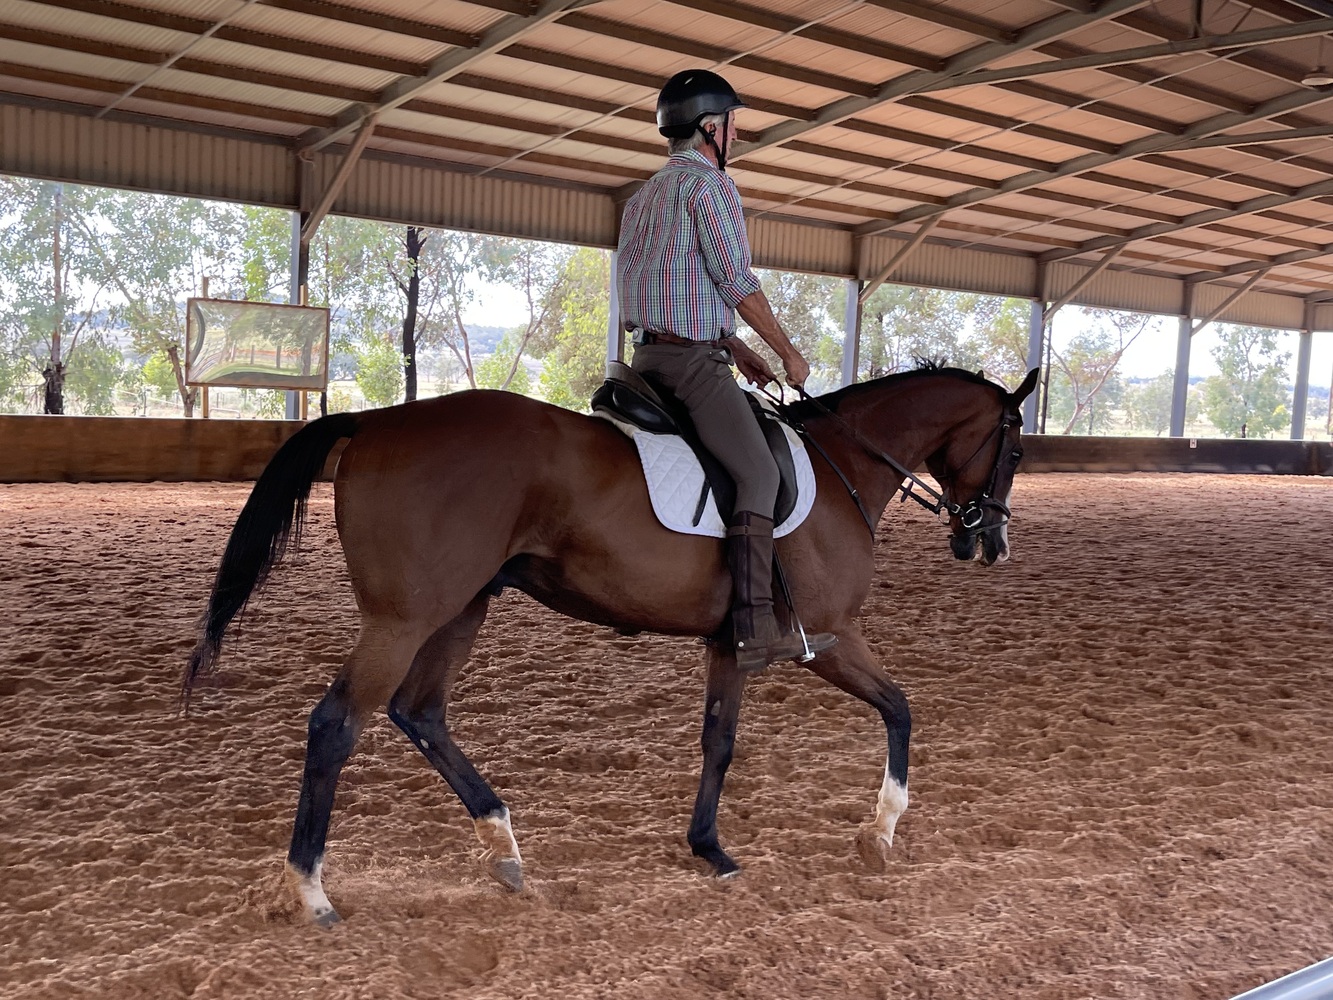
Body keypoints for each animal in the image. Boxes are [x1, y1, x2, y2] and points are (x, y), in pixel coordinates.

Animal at [183, 364, 1039, 925]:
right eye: (1016, 451)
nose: (986, 542)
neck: (844, 468)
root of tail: (380, 419)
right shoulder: (829, 638)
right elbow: (900, 710)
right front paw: (881, 832)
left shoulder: (731, 646)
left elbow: (718, 741)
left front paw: (708, 848)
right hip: (403, 618)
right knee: (338, 724)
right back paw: (312, 889)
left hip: (461, 609)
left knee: (419, 712)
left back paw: (502, 843)